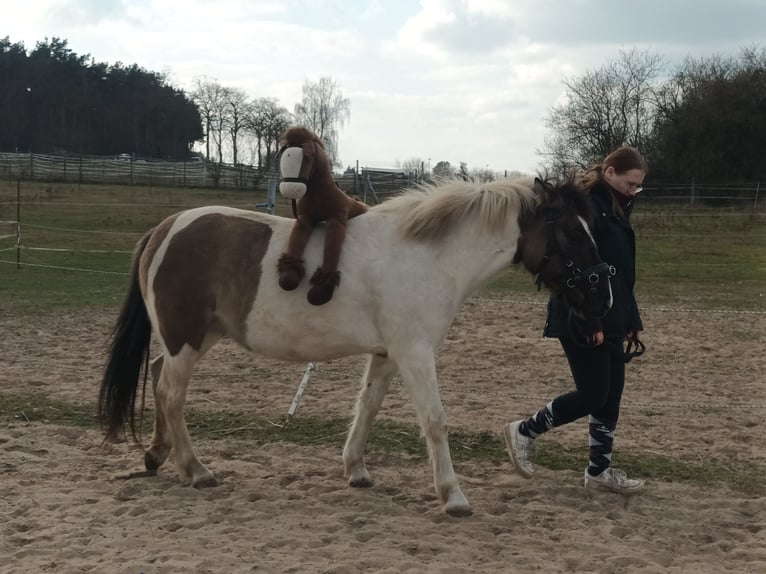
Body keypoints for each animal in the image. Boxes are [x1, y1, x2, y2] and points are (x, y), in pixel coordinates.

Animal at [99, 176, 616, 516]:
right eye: (574, 231)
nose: (603, 298)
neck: (427, 257)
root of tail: (165, 229)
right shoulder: (414, 353)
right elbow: (435, 422)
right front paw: (453, 496)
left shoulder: (387, 355)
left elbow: (367, 408)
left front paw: (356, 470)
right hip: (186, 340)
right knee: (171, 394)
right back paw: (196, 469)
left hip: (191, 340)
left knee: (159, 380)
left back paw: (158, 455)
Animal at [278, 125, 370, 306]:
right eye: (284, 159)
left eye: (304, 160)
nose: (289, 189)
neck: (318, 194)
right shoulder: (304, 218)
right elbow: (296, 241)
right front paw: (289, 276)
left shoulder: (337, 219)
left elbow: (332, 248)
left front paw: (320, 292)